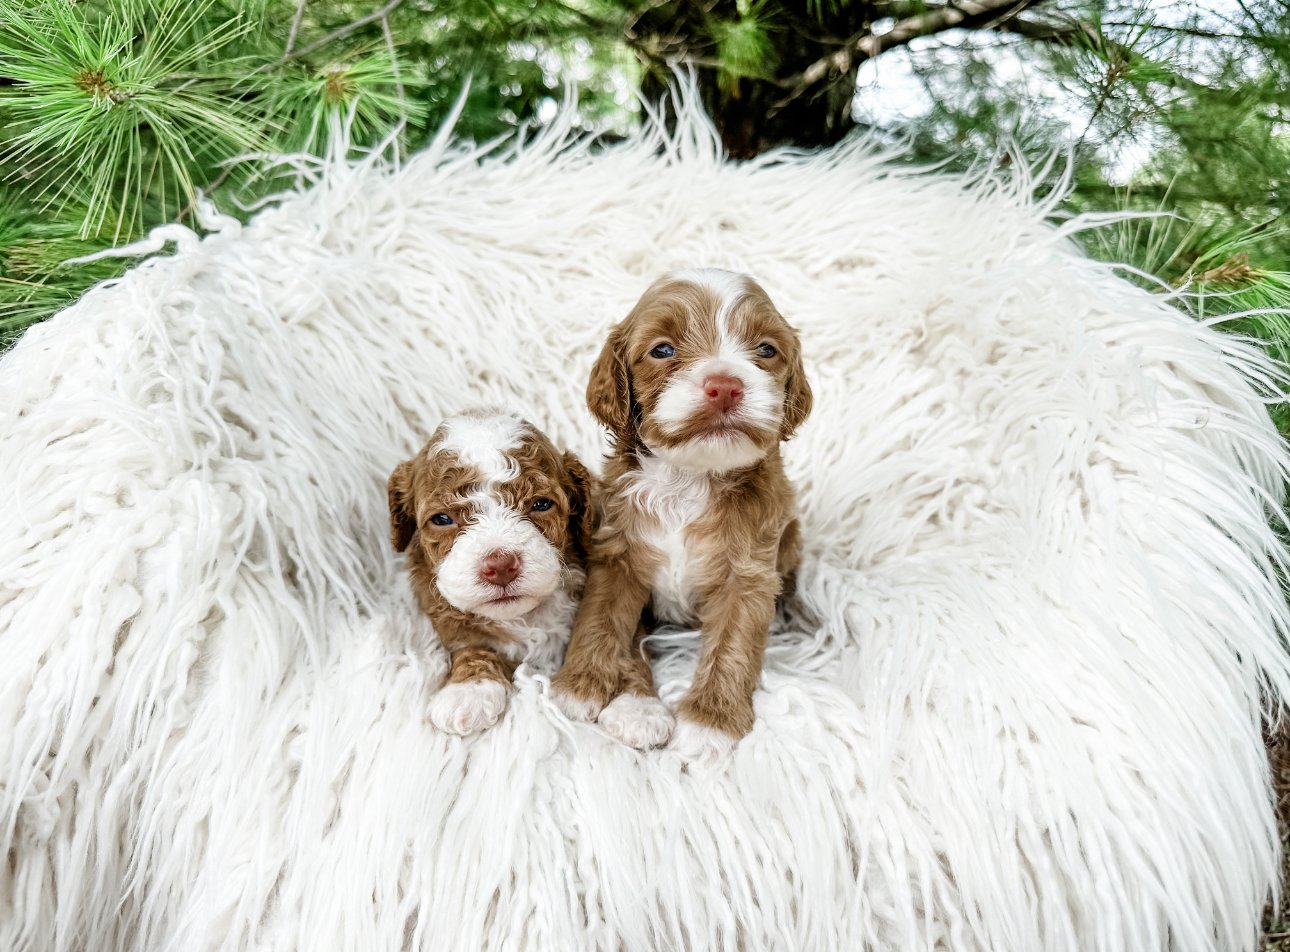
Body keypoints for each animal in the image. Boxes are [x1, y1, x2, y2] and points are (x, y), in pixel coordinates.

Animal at [549, 270, 810, 758]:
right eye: (663, 350)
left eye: (766, 349)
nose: (725, 385)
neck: (689, 479)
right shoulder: (617, 554)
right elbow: (602, 620)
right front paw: (586, 686)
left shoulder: (748, 576)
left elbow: (733, 646)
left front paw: (711, 722)